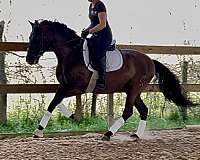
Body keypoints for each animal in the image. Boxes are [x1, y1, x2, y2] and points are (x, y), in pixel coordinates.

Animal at [25, 19, 195, 140]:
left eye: (36, 37)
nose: (29, 59)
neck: (71, 53)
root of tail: (150, 61)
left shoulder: (76, 88)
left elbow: (54, 102)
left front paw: (39, 131)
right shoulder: (65, 86)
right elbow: (55, 101)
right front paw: (73, 116)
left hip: (134, 89)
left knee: (128, 111)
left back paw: (108, 134)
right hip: (133, 90)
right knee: (143, 110)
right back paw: (136, 135)